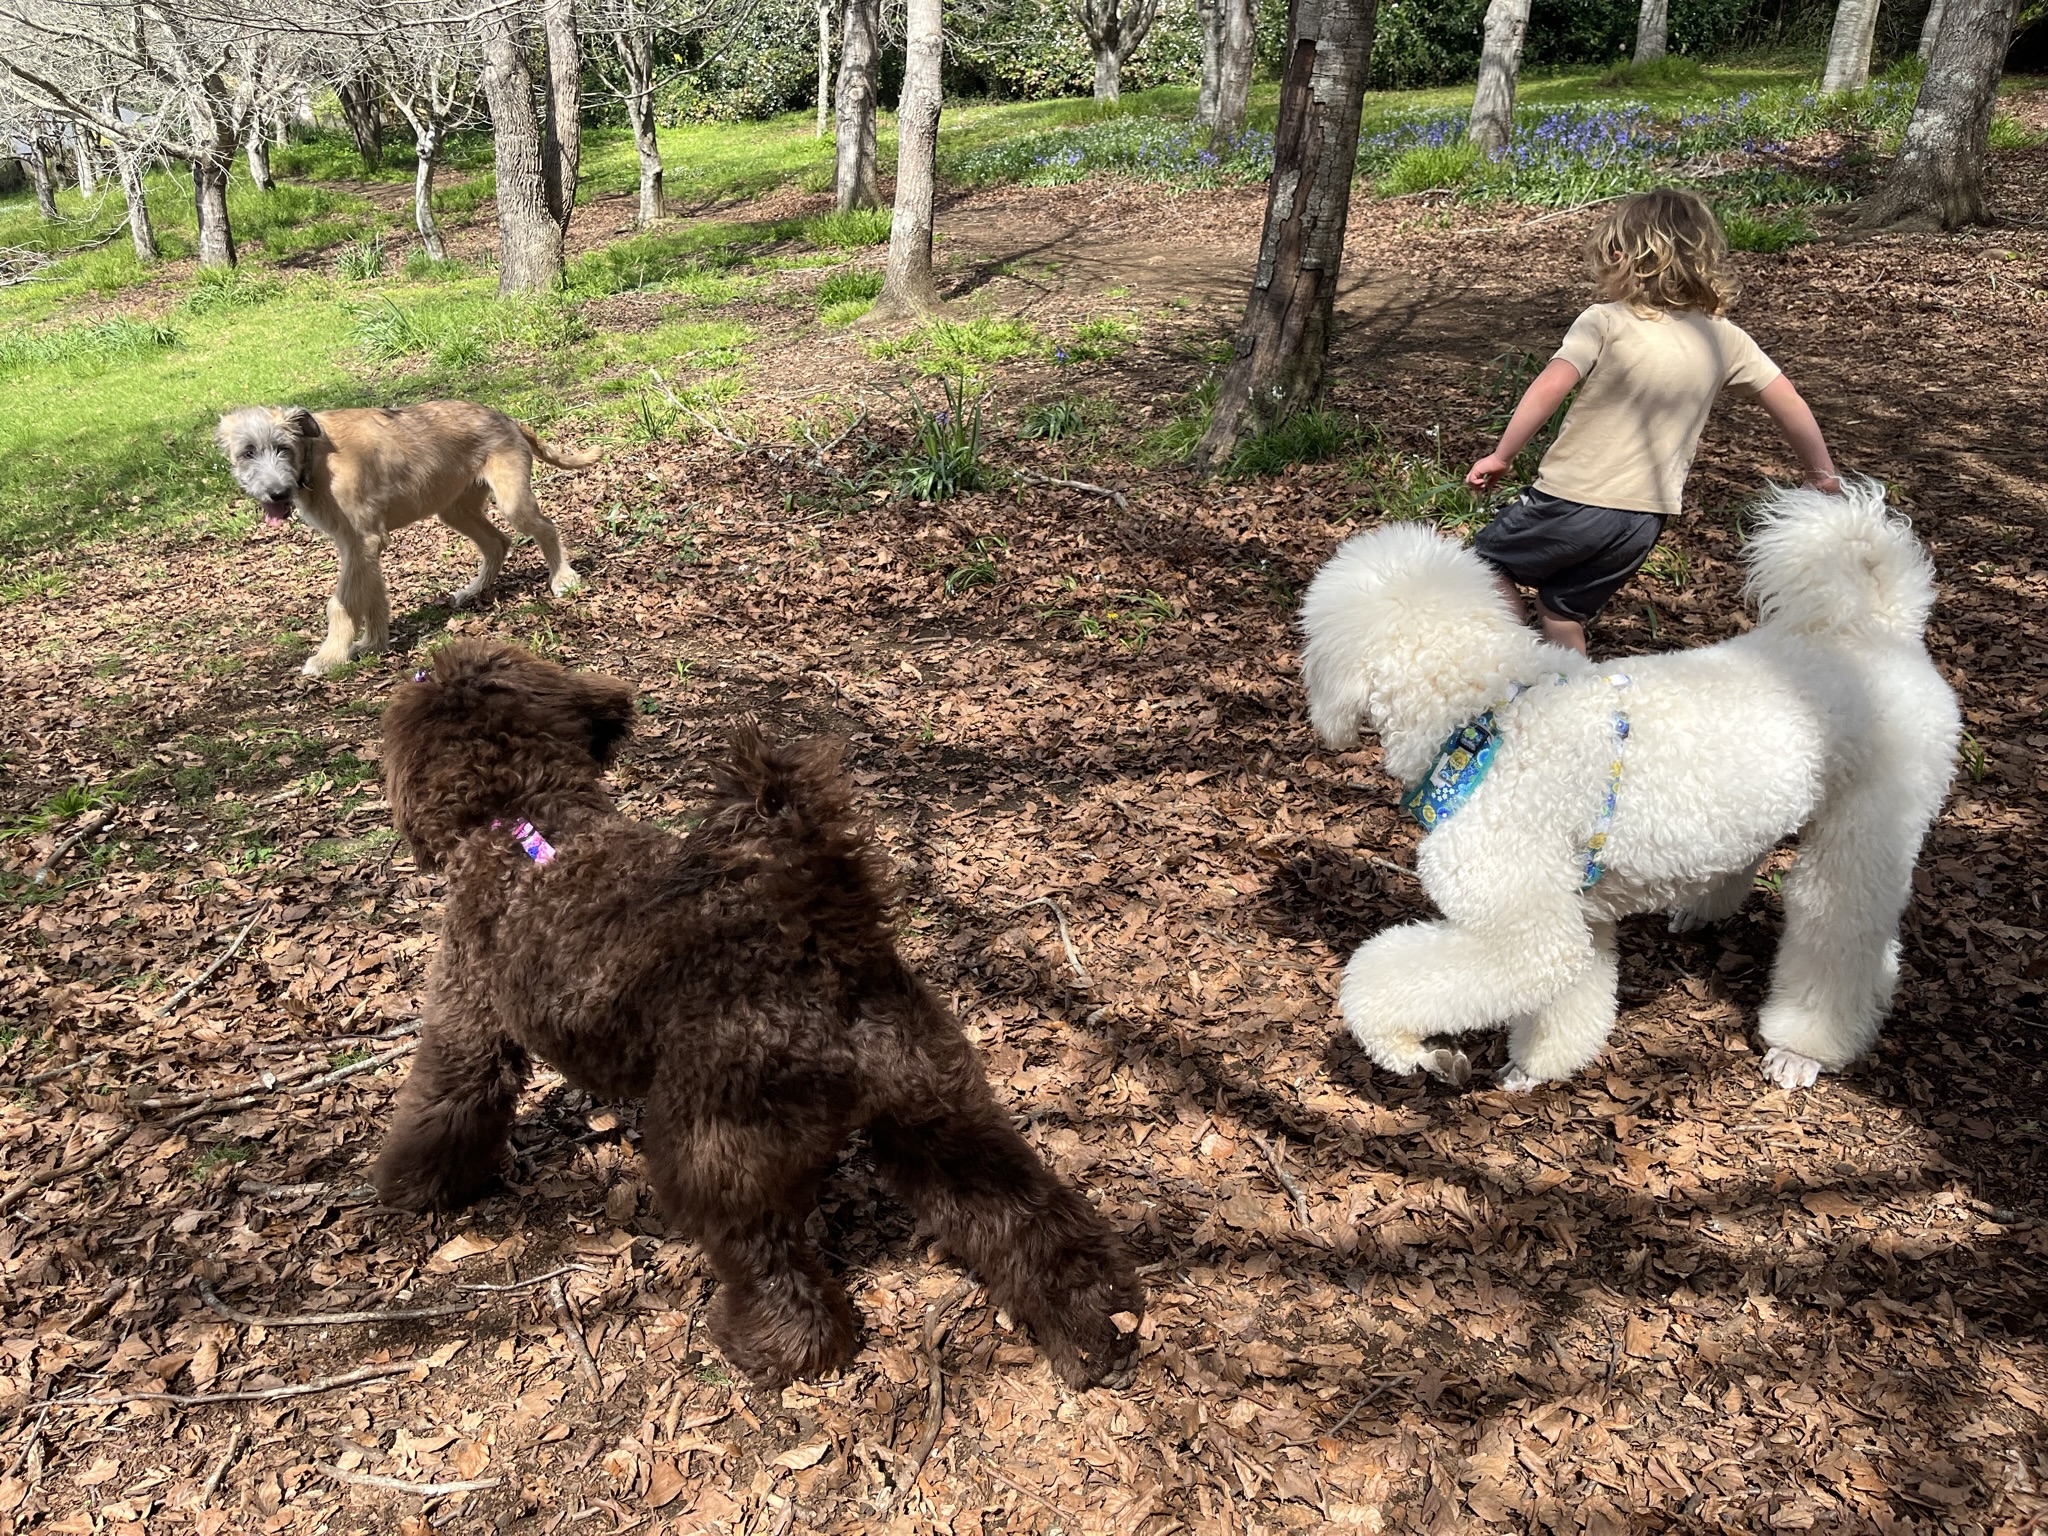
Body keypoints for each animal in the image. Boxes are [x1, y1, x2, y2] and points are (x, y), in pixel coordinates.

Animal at [218, 403, 598, 679]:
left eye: (283, 448)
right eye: (247, 453)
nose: (276, 493)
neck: (315, 456)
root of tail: (507, 419)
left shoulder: (362, 542)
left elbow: (342, 603)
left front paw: (329, 657)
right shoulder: (358, 547)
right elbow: (373, 597)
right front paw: (373, 644)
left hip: (511, 500)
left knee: (545, 528)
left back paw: (563, 578)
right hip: (455, 509)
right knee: (497, 542)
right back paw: (474, 590)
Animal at [368, 638, 1138, 1392]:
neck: (525, 814)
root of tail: (823, 948)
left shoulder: (467, 1024)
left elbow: (442, 1108)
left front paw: (414, 1189)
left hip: (718, 1154)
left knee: (773, 1268)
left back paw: (769, 1349)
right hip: (942, 1120)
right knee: (1027, 1225)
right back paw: (1097, 1330)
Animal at [1302, 481, 1957, 1097]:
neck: (1487, 711)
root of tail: (1883, 625)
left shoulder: (1524, 929)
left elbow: (1382, 981)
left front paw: (1407, 1048)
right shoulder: (1576, 913)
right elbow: (1571, 1000)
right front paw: (1534, 1067)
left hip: (1869, 827)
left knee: (1843, 929)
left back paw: (1803, 1048)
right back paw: (1702, 910)